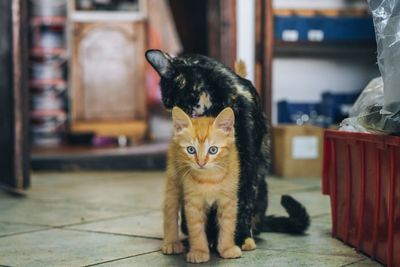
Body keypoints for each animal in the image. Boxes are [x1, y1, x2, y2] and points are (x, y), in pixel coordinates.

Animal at [162, 106, 241, 264]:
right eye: (191, 150)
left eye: (213, 150)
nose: (201, 162)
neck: (209, 179)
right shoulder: (193, 202)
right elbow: (196, 228)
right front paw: (199, 251)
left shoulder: (229, 199)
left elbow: (228, 224)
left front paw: (227, 248)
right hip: (173, 179)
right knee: (170, 210)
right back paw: (171, 242)